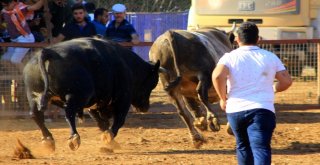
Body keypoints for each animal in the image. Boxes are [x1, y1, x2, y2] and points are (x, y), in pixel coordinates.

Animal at [23, 37, 160, 151]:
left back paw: (48, 141)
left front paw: (109, 140)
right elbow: (118, 121)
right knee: (68, 112)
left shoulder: (94, 104)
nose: (145, 107)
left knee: (36, 115)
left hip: (33, 96)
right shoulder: (123, 99)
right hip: (76, 96)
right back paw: (74, 138)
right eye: (152, 83)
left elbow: (101, 123)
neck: (128, 65)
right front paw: (109, 138)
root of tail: (48, 52)